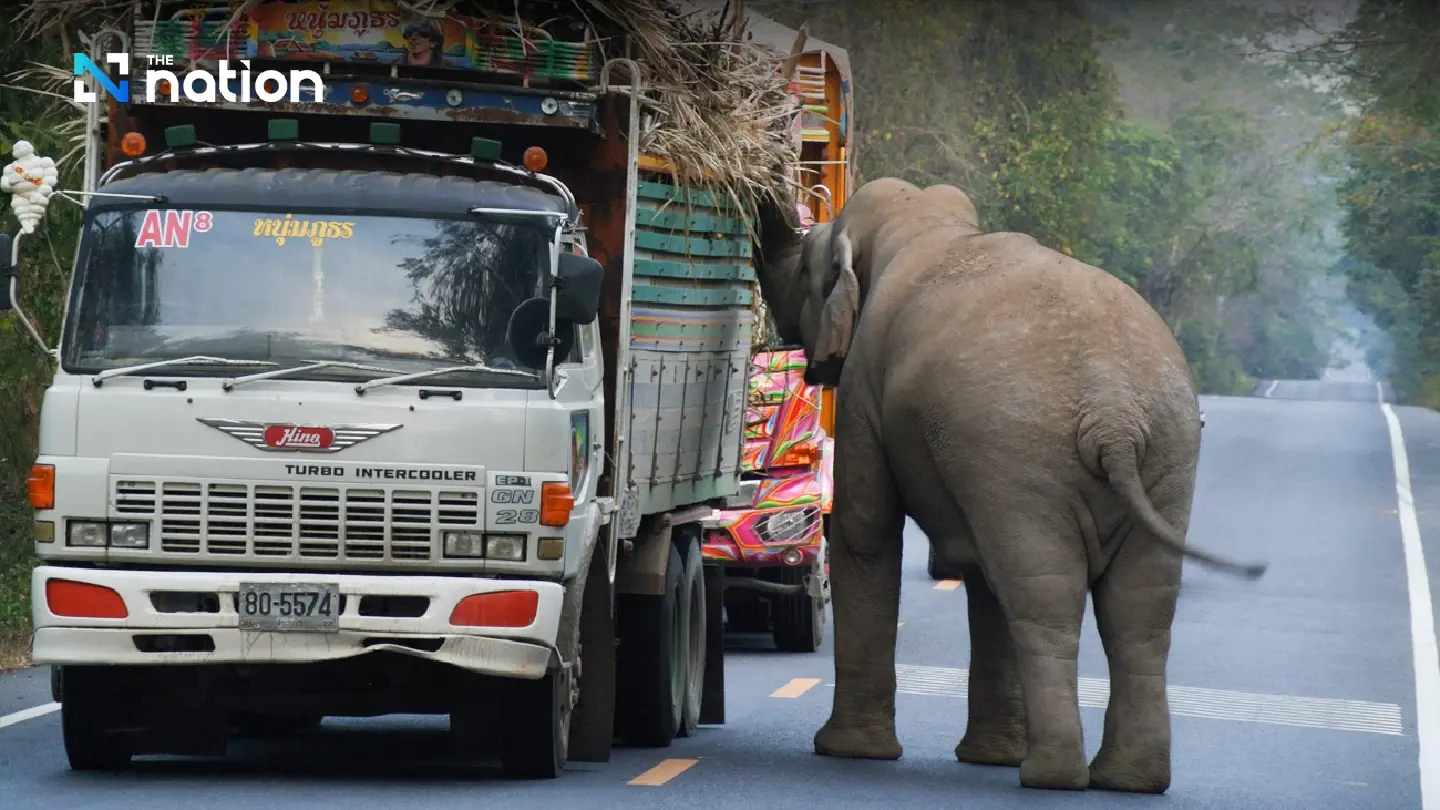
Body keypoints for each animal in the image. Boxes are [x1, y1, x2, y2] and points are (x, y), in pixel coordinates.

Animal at [751, 178, 1266, 794]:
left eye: (807, 267)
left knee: (1043, 598)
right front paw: (988, 756)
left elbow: (867, 530)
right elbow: (979, 569)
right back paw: (1128, 780)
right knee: (1137, 608)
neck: (925, 223)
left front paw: (848, 752)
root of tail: (1113, 411)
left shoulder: (864, 392)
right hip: (1164, 452)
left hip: (1019, 448)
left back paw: (1052, 776)